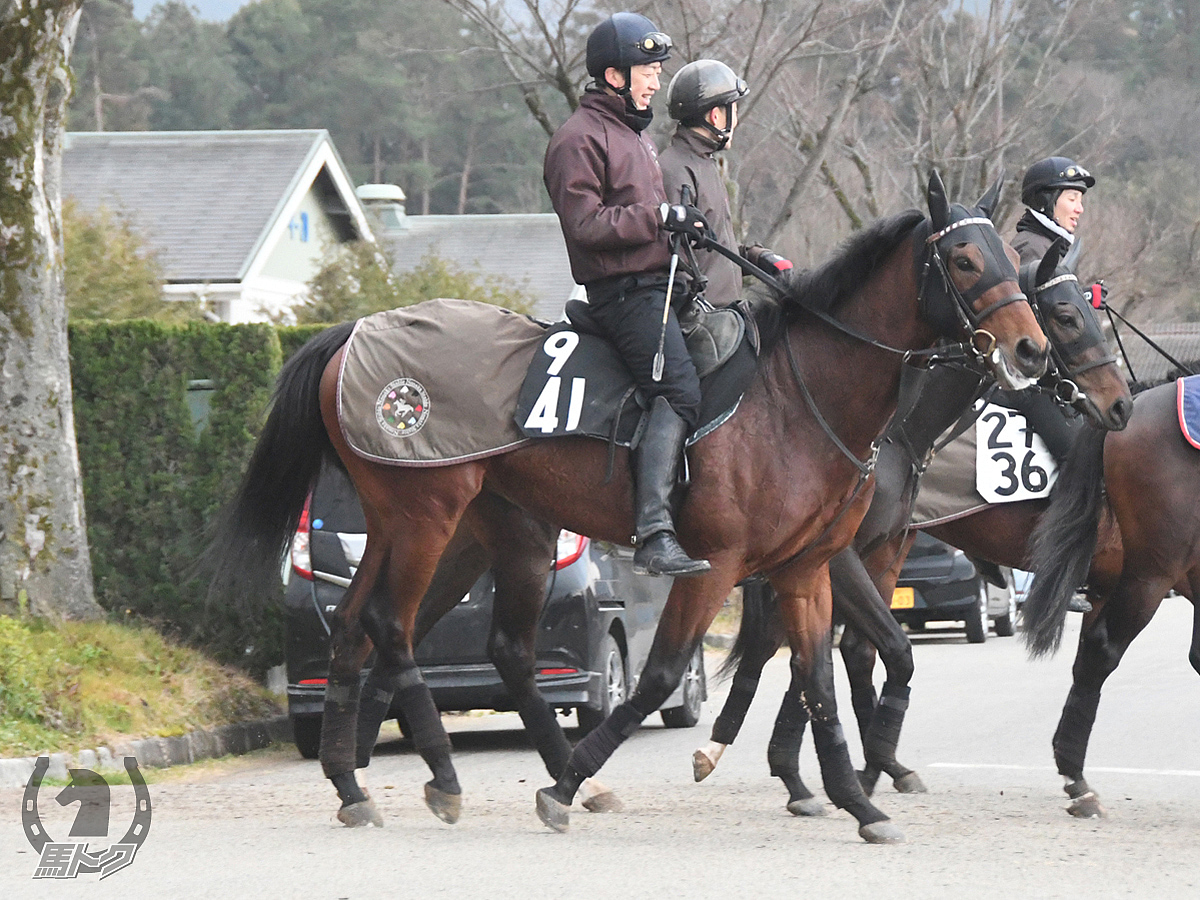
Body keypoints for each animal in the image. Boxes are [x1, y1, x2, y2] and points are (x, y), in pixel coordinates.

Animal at [211, 176, 1046, 844]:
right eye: (966, 261)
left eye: (1010, 259)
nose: (1032, 351)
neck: (796, 395)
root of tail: (357, 333)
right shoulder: (718, 564)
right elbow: (661, 675)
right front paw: (564, 785)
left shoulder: (806, 568)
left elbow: (817, 682)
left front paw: (857, 802)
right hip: (424, 517)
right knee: (393, 626)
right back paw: (446, 777)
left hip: (473, 531)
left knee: (395, 630)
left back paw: (353, 784)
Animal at [691, 236, 1128, 816]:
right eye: (1065, 315)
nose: (1119, 404)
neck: (898, 429)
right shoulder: (838, 557)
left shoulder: (880, 553)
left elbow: (850, 654)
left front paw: (862, 767)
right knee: (770, 647)